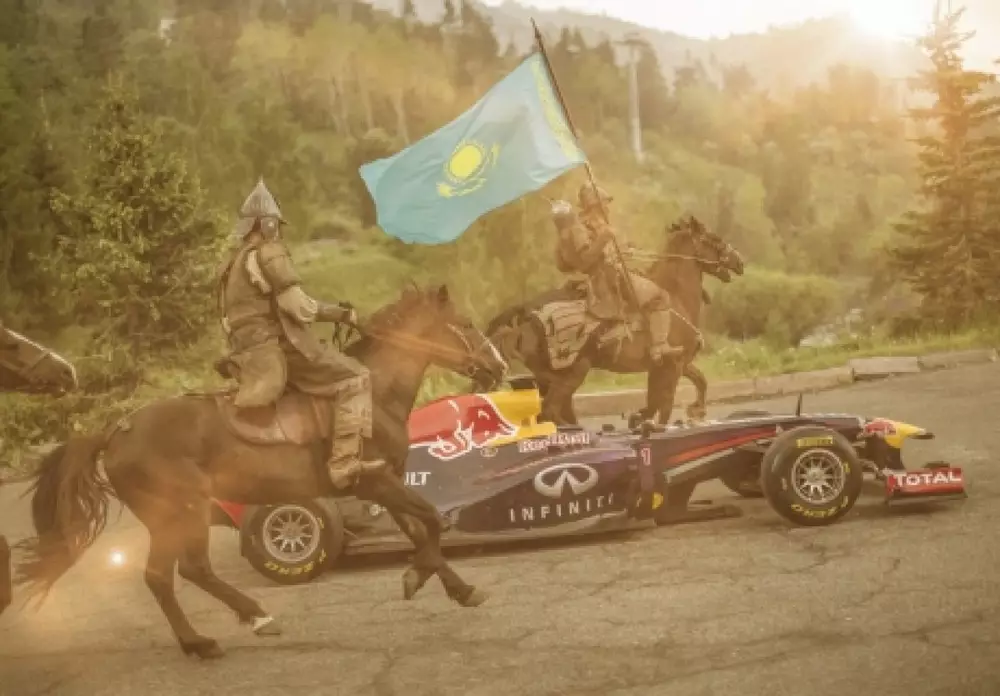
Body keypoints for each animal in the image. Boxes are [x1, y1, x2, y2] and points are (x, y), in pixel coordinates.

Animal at [12, 283, 509, 659]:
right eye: (466, 324)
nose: (497, 366)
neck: (375, 393)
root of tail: (116, 431)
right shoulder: (376, 480)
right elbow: (431, 522)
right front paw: (415, 577)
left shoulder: (387, 484)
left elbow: (419, 530)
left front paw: (458, 588)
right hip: (182, 511)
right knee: (178, 572)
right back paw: (224, 631)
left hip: (172, 517)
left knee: (175, 575)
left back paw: (225, 629)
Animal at [483, 215, 744, 426]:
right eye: (714, 239)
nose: (739, 262)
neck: (675, 297)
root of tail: (526, 317)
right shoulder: (673, 365)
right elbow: (665, 405)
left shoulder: (671, 365)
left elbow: (694, 384)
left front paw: (689, 410)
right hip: (574, 372)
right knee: (550, 411)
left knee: (551, 412)